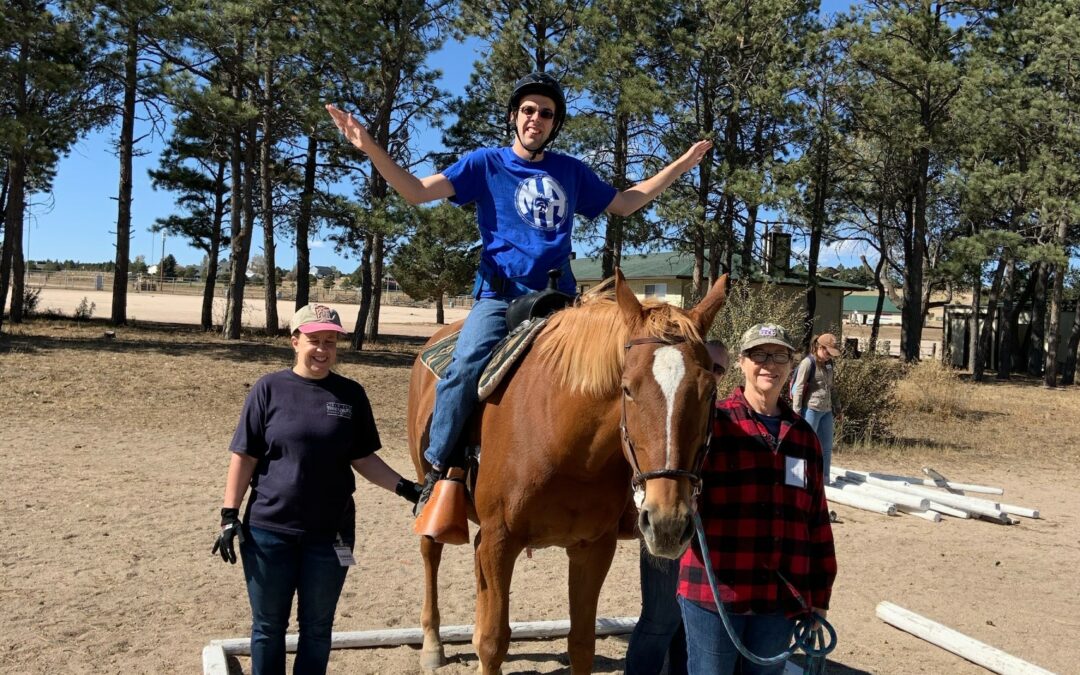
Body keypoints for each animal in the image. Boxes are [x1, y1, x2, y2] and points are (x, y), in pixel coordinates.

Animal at [408, 271, 730, 669]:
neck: (566, 445)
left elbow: (580, 643)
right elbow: (493, 643)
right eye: (627, 388)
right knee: (430, 551)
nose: (667, 523)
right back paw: (432, 643)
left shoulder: (593, 548)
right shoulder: (500, 540)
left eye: (709, 390)